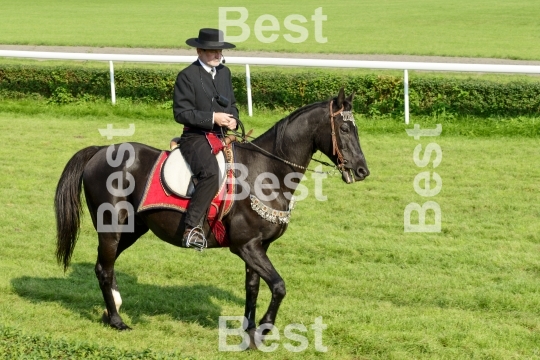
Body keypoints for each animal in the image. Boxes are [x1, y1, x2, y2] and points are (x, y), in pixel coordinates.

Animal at [53, 88, 368, 338]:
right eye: (344, 129)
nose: (362, 170)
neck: (265, 172)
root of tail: (100, 151)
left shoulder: (258, 247)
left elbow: (253, 287)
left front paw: (249, 330)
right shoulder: (246, 246)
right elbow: (279, 286)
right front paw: (265, 327)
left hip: (132, 229)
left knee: (105, 266)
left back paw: (112, 310)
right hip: (111, 228)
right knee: (104, 269)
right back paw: (117, 320)